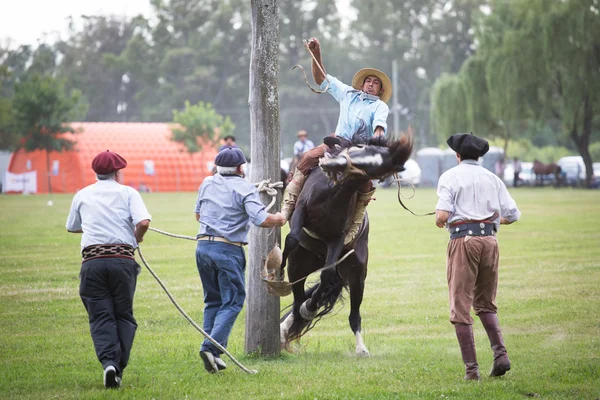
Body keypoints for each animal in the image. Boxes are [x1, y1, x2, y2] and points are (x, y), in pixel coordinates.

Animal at [278, 128, 412, 356]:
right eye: (360, 148)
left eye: (380, 166)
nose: (332, 164)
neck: (333, 191)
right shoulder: (301, 210)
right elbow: (292, 238)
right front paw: (275, 271)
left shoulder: (337, 237)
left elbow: (327, 274)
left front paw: (310, 307)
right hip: (298, 266)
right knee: (296, 301)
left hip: (357, 277)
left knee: (350, 314)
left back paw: (360, 348)